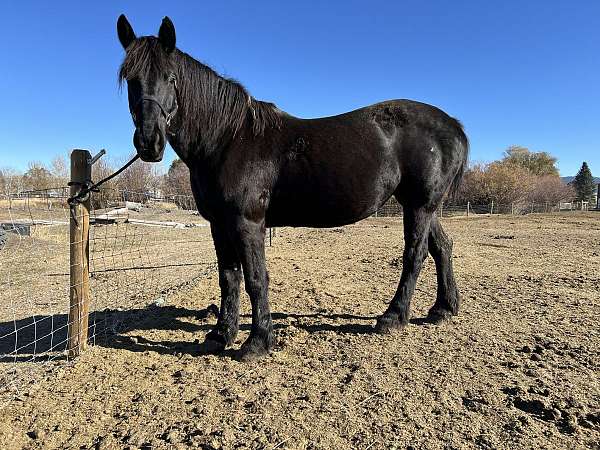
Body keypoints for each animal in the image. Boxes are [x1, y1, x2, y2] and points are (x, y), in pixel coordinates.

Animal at [117, 15, 468, 360]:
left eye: (171, 77)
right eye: (130, 79)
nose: (149, 142)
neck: (228, 139)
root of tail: (452, 124)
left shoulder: (247, 223)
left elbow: (256, 279)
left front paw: (257, 342)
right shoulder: (219, 223)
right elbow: (228, 278)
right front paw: (220, 335)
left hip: (419, 206)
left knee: (415, 254)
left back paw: (393, 317)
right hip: (422, 205)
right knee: (442, 247)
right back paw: (442, 309)